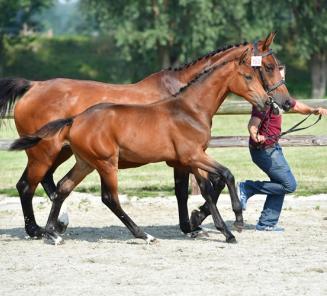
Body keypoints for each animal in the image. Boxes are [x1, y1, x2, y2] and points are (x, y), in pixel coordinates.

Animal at [0, 31, 292, 238]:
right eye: (266, 67)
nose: (283, 102)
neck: (184, 100)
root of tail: (32, 86)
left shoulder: (185, 157)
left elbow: (195, 188)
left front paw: (193, 223)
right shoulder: (188, 156)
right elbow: (200, 187)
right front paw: (197, 222)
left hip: (65, 154)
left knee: (50, 184)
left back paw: (54, 226)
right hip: (47, 152)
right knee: (29, 186)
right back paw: (38, 230)